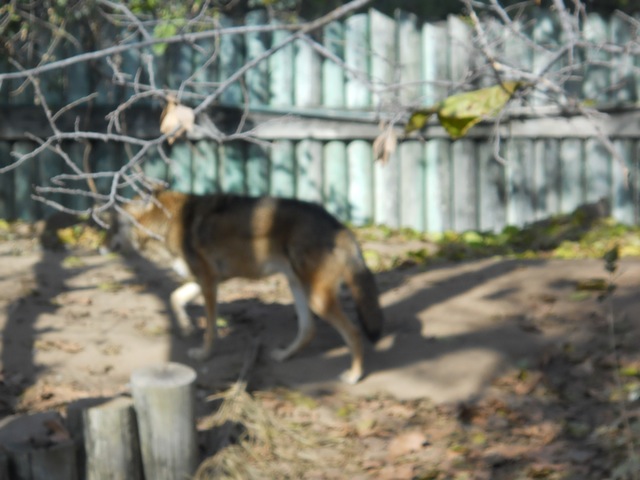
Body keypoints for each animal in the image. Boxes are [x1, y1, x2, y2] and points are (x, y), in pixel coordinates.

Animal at [111, 189, 384, 384]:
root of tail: (338, 225)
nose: (103, 245)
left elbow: (210, 328)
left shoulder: (208, 282)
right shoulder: (207, 280)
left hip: (316, 298)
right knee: (309, 331)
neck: (169, 222)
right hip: (298, 288)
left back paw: (354, 375)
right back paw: (282, 356)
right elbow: (174, 297)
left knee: (354, 332)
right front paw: (187, 327)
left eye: (115, 223)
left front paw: (204, 354)